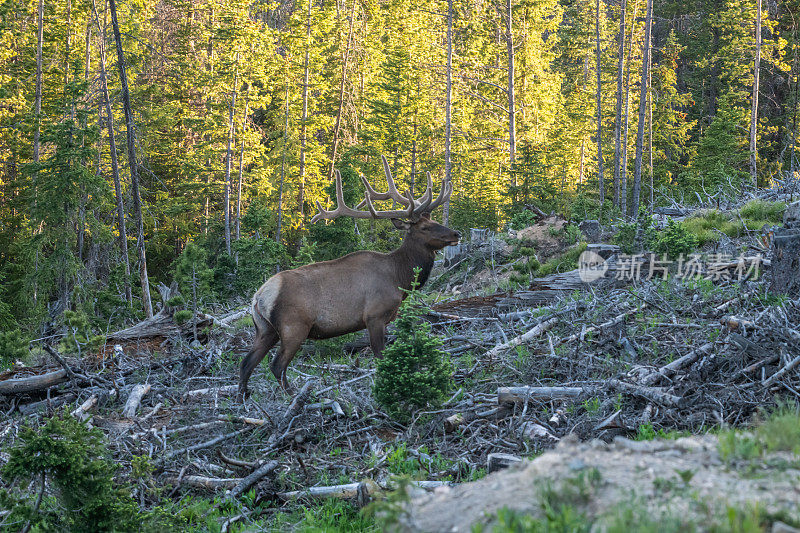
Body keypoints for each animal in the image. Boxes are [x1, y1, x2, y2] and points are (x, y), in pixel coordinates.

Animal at [238, 156, 460, 396]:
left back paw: (243, 398)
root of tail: (259, 296)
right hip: (293, 326)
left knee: (246, 363)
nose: (456, 233)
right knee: (277, 365)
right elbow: (380, 357)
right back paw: (293, 395)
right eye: (425, 228)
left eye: (436, 221)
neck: (400, 278)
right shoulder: (374, 316)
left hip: (264, 329)